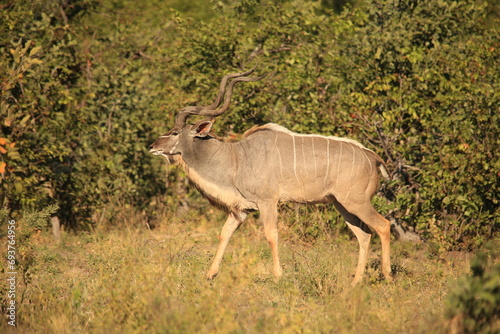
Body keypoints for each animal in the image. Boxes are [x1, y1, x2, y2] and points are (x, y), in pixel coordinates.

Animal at [150, 68, 392, 284]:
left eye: (174, 132)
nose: (152, 146)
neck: (236, 159)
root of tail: (373, 158)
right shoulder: (241, 209)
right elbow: (224, 233)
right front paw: (210, 275)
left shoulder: (267, 202)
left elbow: (271, 235)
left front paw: (278, 277)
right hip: (341, 205)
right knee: (364, 235)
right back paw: (355, 283)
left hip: (356, 202)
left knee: (383, 226)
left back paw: (388, 277)